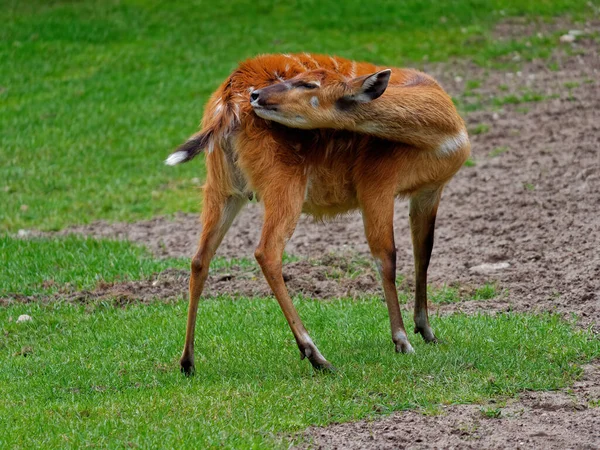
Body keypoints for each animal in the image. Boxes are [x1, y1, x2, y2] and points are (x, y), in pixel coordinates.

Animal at [166, 53, 472, 376]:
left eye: (308, 84)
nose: (256, 95)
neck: (441, 134)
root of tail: (227, 100)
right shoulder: (376, 182)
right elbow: (386, 256)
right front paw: (402, 341)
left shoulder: (430, 190)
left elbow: (424, 253)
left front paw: (428, 332)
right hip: (283, 182)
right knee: (266, 251)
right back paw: (316, 355)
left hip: (223, 186)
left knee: (200, 258)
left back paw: (187, 362)